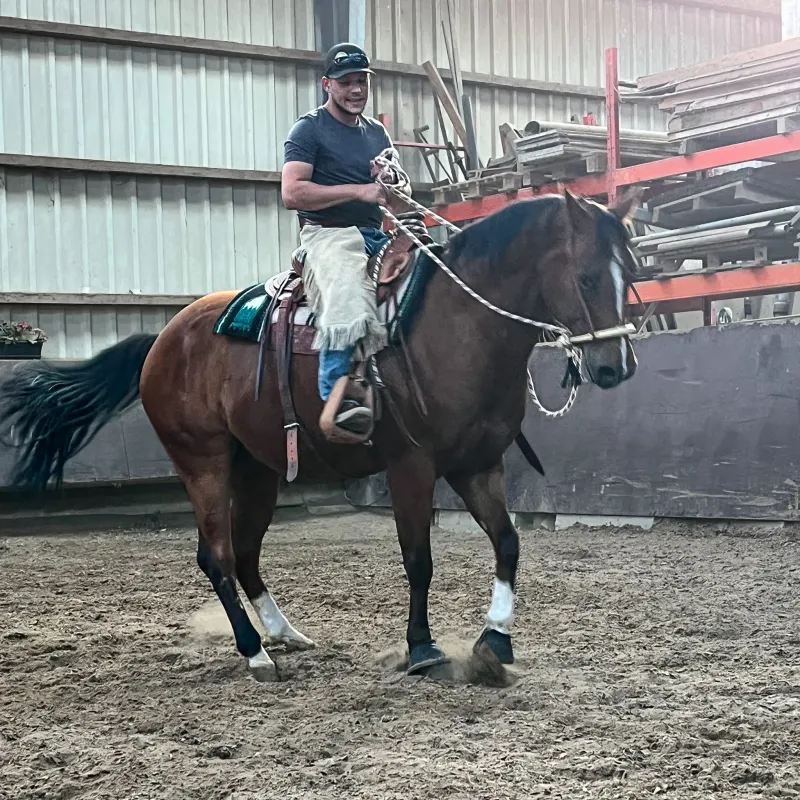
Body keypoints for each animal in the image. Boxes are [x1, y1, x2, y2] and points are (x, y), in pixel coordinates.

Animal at [0, 189, 640, 682]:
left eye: (631, 273)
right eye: (586, 277)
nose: (617, 367)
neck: (457, 326)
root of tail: (163, 337)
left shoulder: (478, 464)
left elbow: (508, 543)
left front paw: (496, 643)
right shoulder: (412, 466)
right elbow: (419, 559)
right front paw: (422, 648)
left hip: (256, 470)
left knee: (246, 553)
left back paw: (284, 633)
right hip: (202, 462)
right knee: (218, 555)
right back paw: (256, 654)